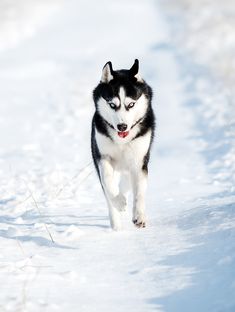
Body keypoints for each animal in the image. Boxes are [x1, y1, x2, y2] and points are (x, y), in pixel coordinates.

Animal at [91, 59, 155, 230]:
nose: (122, 127)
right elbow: (108, 181)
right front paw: (119, 203)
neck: (122, 141)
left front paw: (139, 216)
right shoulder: (103, 157)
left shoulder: (139, 161)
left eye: (131, 104)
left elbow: (139, 191)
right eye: (112, 105)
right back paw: (116, 222)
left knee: (126, 184)